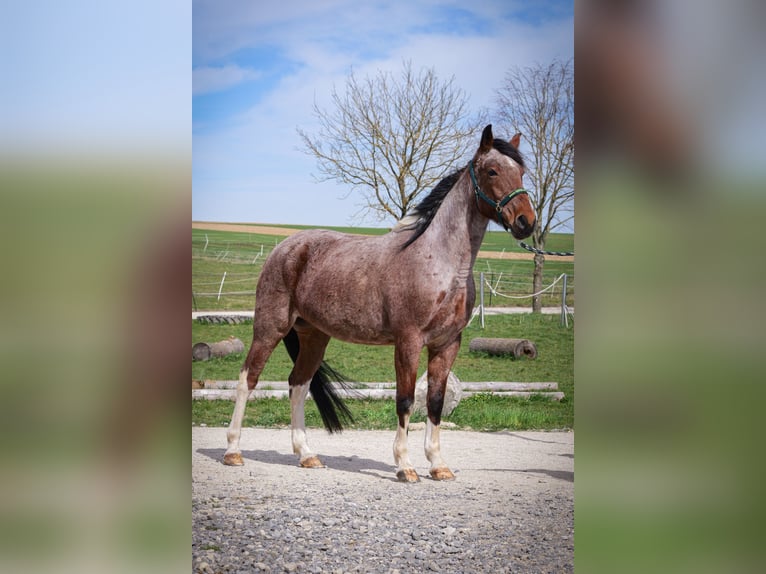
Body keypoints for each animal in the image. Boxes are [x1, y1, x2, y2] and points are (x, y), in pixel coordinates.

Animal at [223, 124, 536, 482]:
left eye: (521, 172)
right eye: (492, 171)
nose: (526, 222)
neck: (440, 262)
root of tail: (286, 247)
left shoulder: (447, 344)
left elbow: (435, 402)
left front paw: (438, 465)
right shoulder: (408, 341)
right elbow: (405, 400)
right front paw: (405, 466)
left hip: (314, 336)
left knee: (298, 384)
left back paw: (307, 455)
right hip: (269, 328)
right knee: (248, 379)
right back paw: (233, 451)